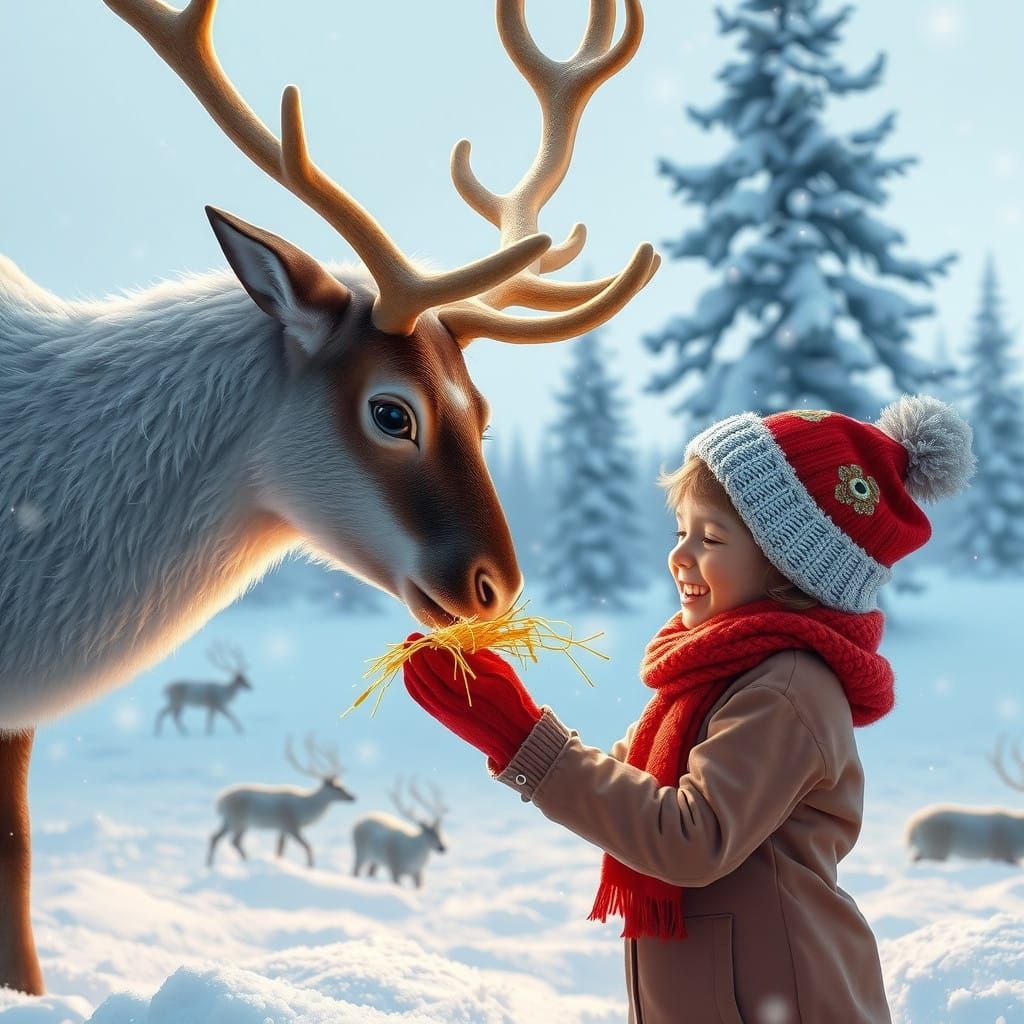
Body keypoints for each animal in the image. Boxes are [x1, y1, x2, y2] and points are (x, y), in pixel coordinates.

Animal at [208, 735, 355, 868]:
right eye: (338, 787)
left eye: (341, 785)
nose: (353, 797)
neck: (306, 806)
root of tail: (220, 801)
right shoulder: (291, 826)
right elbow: (308, 846)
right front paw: (310, 867)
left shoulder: (282, 829)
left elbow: (280, 849)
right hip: (238, 821)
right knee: (233, 841)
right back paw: (244, 860)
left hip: (231, 822)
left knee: (217, 838)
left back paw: (212, 864)